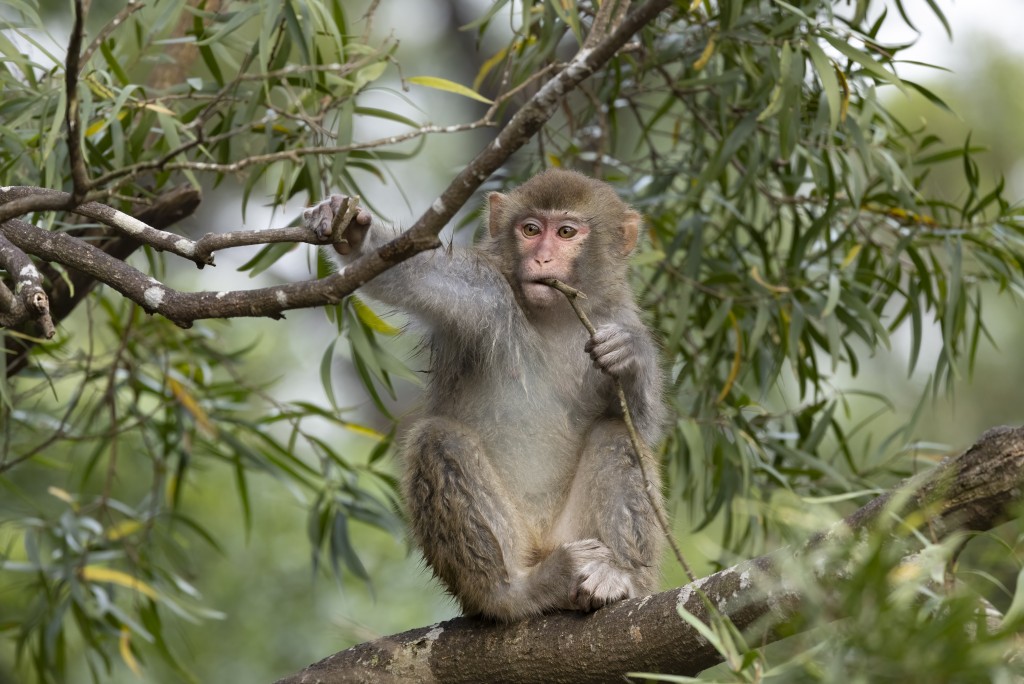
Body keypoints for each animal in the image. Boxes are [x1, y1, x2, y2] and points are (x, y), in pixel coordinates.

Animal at [301, 169, 671, 618]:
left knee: (617, 435)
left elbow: (641, 426)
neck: (555, 316)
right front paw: (352, 233)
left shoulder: (615, 316)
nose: (542, 258)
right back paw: (515, 591)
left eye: (566, 232)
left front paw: (631, 355)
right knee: (436, 439)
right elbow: (409, 276)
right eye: (530, 230)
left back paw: (619, 579)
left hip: (573, 532)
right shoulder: (484, 295)